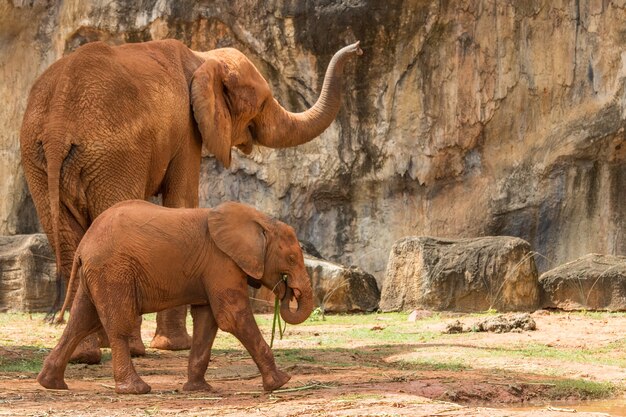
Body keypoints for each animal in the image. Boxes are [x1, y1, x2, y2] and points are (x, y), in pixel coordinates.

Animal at [20, 39, 360, 364]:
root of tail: (57, 129)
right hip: (113, 156)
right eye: (262, 102)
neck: (203, 58)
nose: (357, 48)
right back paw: (130, 349)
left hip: (38, 160)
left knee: (67, 240)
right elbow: (181, 199)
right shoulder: (187, 129)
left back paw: (87, 354)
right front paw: (174, 346)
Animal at [35, 200, 312, 392]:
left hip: (95, 273)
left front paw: (198, 390)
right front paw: (281, 383)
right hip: (113, 271)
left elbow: (207, 320)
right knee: (117, 325)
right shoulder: (221, 262)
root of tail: (84, 243)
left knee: (81, 321)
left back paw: (51, 384)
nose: (287, 290)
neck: (261, 219)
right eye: (291, 258)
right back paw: (135, 390)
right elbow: (232, 317)